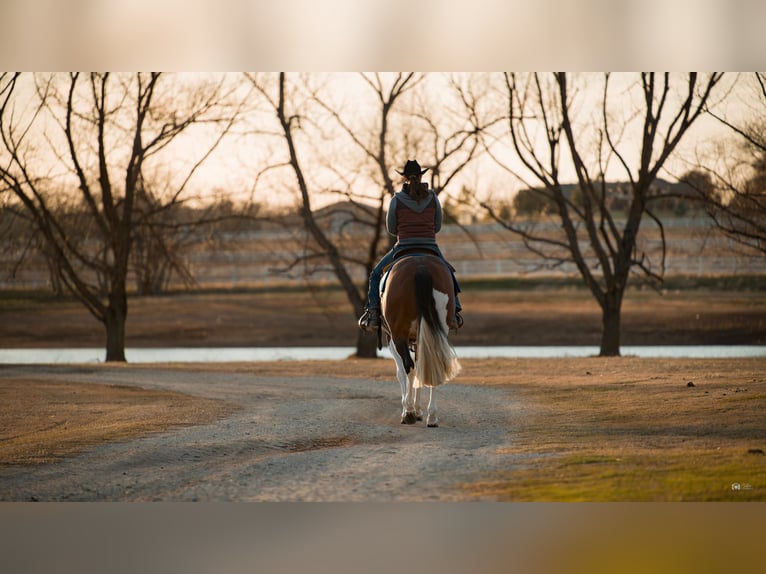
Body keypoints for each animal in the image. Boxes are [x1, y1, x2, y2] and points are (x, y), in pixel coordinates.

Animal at [380, 253, 462, 428]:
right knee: (433, 365)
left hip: (398, 335)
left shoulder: (392, 339)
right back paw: (432, 417)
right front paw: (418, 410)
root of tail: (420, 267)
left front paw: (409, 409)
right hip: (437, 330)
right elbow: (420, 368)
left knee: (408, 367)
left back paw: (409, 413)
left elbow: (402, 373)